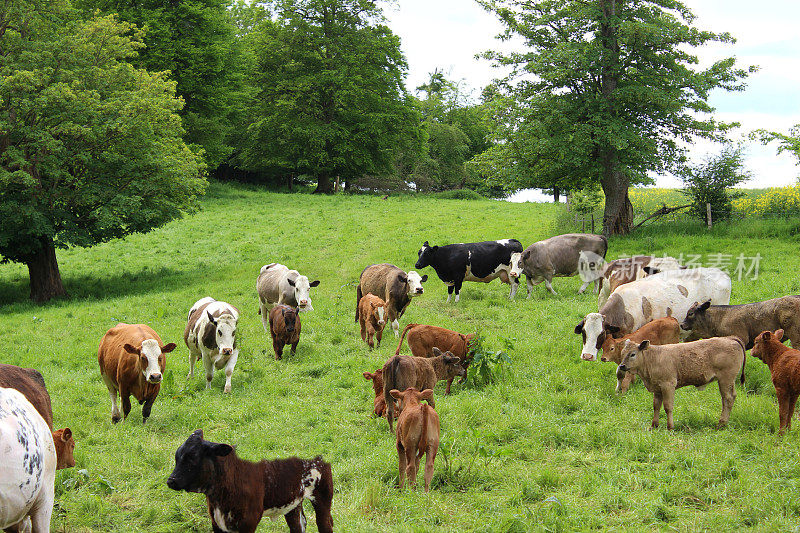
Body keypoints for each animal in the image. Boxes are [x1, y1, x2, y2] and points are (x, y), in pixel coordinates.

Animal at [167, 428, 332, 532]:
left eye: (192, 458)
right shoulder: (217, 523)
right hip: (293, 504)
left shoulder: (248, 522)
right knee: (298, 526)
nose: (171, 481)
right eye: (177, 457)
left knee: (325, 524)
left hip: (322, 497)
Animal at [616, 336, 748, 428]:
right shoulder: (657, 389)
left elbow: (668, 406)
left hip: (726, 379)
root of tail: (729, 338)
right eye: (622, 353)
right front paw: (654, 425)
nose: (622, 366)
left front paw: (670, 427)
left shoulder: (668, 385)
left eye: (633, 354)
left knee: (727, 398)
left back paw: (721, 423)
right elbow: (656, 406)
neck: (653, 358)